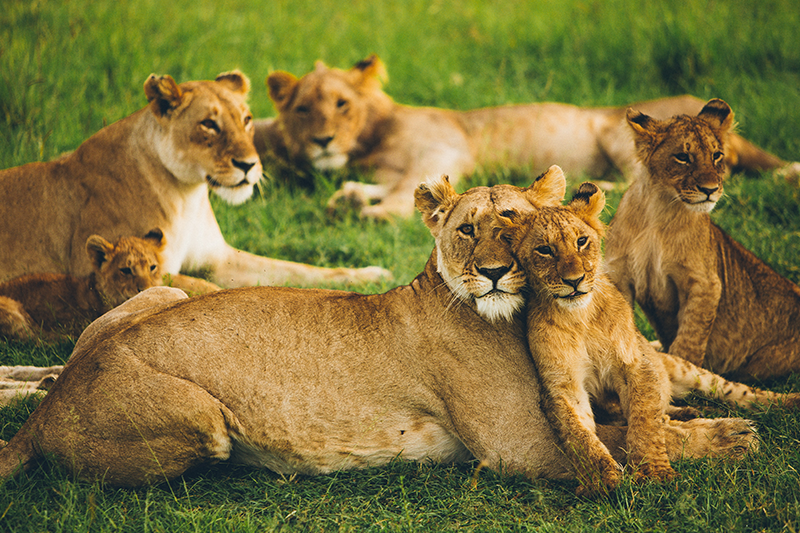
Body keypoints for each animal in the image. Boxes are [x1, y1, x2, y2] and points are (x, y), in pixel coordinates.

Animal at [0, 70, 388, 288]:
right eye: (209, 124)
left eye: (247, 119)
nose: (249, 165)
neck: (187, 195)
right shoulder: (112, 268)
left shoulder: (220, 259)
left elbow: (299, 269)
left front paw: (371, 275)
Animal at [0, 174, 756, 486]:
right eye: (467, 230)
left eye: (513, 221)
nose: (492, 272)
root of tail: (45, 414)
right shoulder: (519, 447)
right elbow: (616, 439)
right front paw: (730, 436)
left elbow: (636, 416)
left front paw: (697, 416)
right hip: (204, 418)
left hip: (160, 287)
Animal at [608, 98, 800, 378]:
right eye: (682, 157)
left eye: (716, 155)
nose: (710, 190)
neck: (658, 210)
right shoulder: (619, 275)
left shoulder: (705, 282)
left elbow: (690, 338)